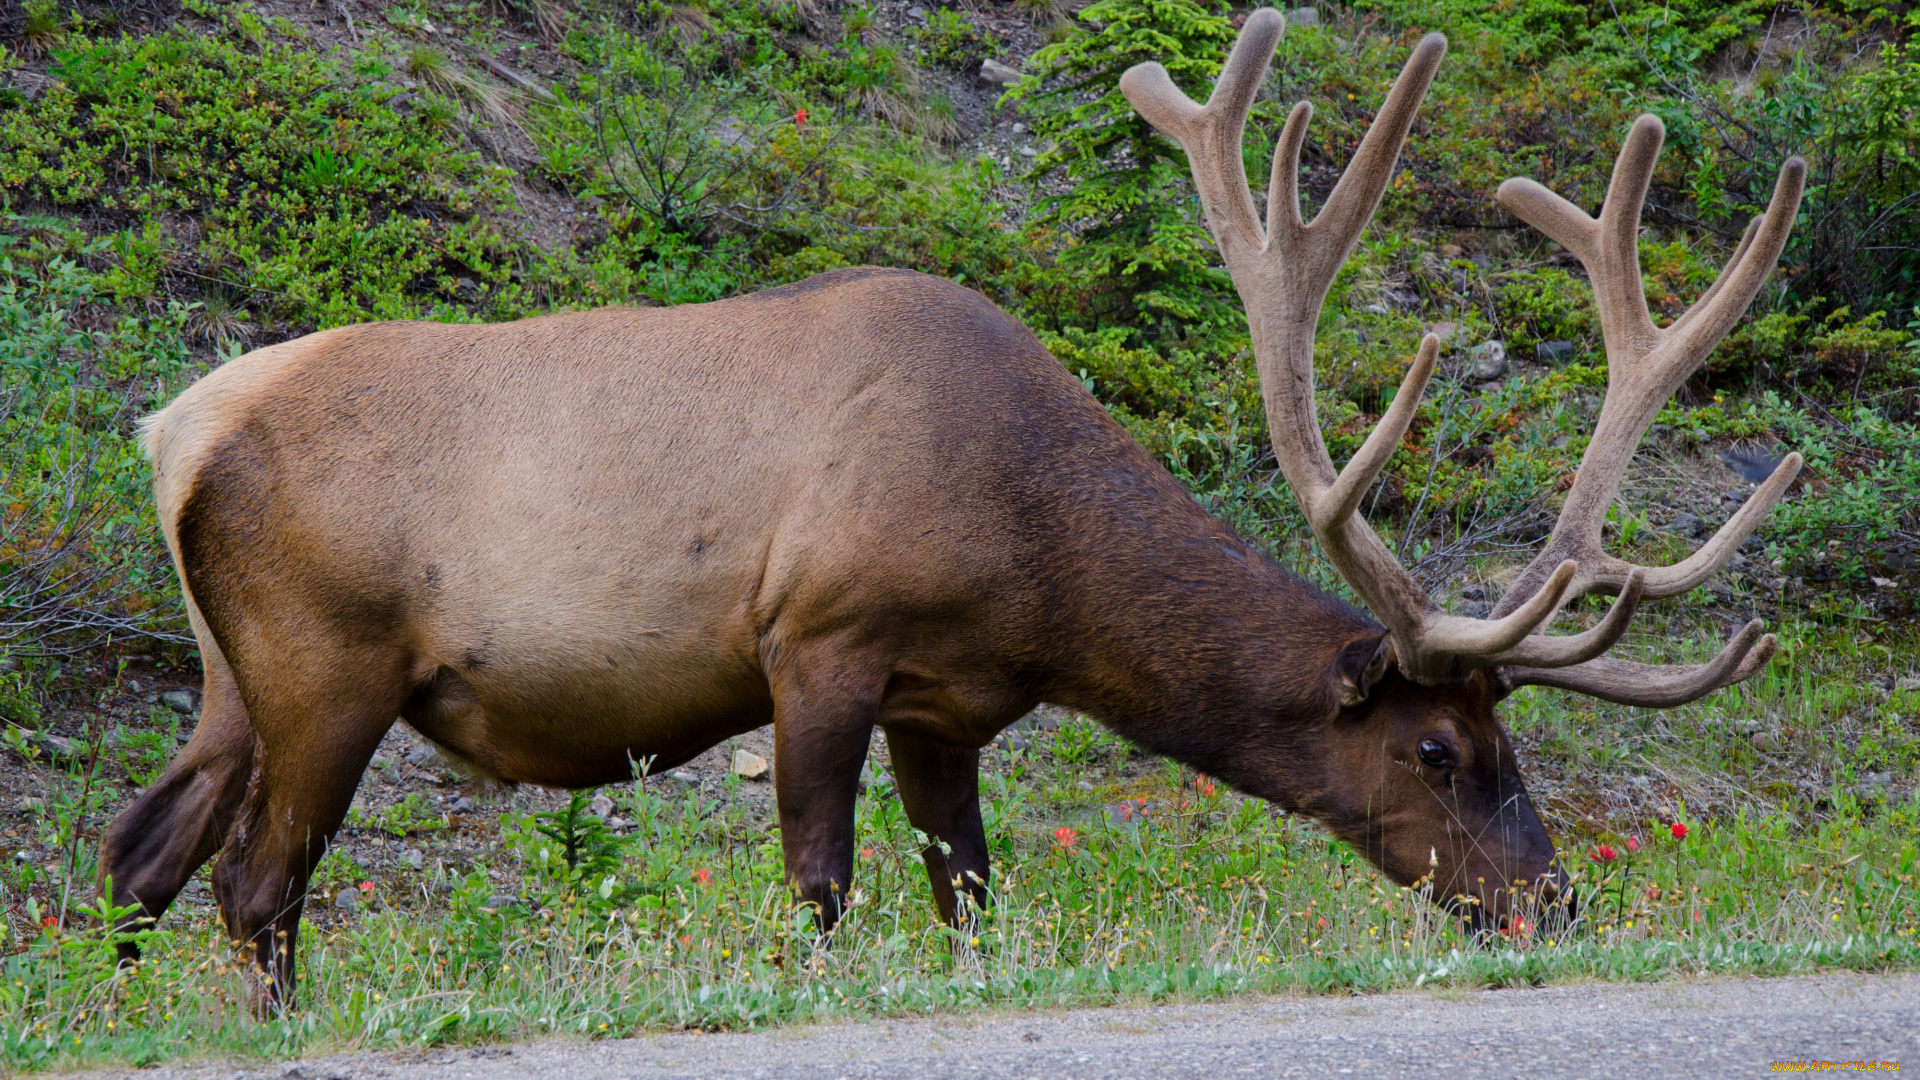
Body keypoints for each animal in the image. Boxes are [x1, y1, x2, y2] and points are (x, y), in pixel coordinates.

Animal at [105, 8, 1797, 1006]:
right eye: (1442, 750)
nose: (1550, 908)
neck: (1039, 572)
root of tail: (171, 430)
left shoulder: (948, 703)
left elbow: (967, 897)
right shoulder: (817, 639)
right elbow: (820, 884)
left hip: (231, 676)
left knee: (142, 852)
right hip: (330, 661)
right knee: (258, 883)